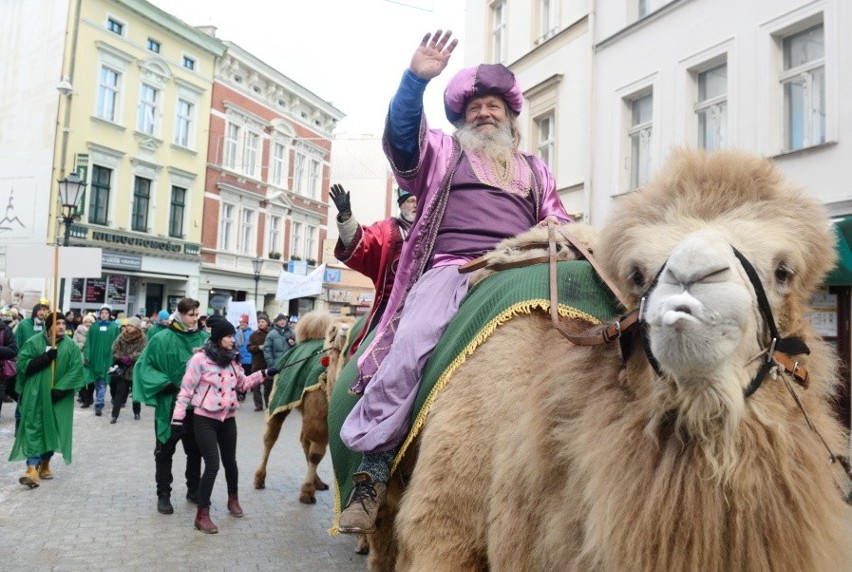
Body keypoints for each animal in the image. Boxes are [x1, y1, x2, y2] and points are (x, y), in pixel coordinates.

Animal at [251, 310, 354, 502]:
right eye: (333, 330)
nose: (345, 331)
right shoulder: (318, 417)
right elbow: (317, 453)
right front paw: (306, 492)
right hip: (280, 398)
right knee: (270, 436)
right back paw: (259, 478)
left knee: (304, 440)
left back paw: (318, 482)